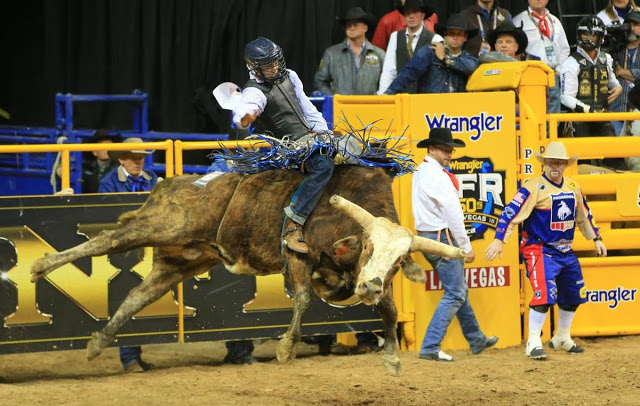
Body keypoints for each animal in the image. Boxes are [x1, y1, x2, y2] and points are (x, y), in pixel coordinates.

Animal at [30, 164, 462, 374]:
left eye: (399, 262)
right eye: (369, 245)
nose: (370, 287)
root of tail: (172, 182)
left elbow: (389, 311)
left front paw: (392, 359)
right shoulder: (298, 256)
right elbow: (302, 298)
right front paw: (286, 347)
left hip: (182, 258)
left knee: (139, 293)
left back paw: (98, 341)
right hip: (165, 224)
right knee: (109, 240)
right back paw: (40, 265)